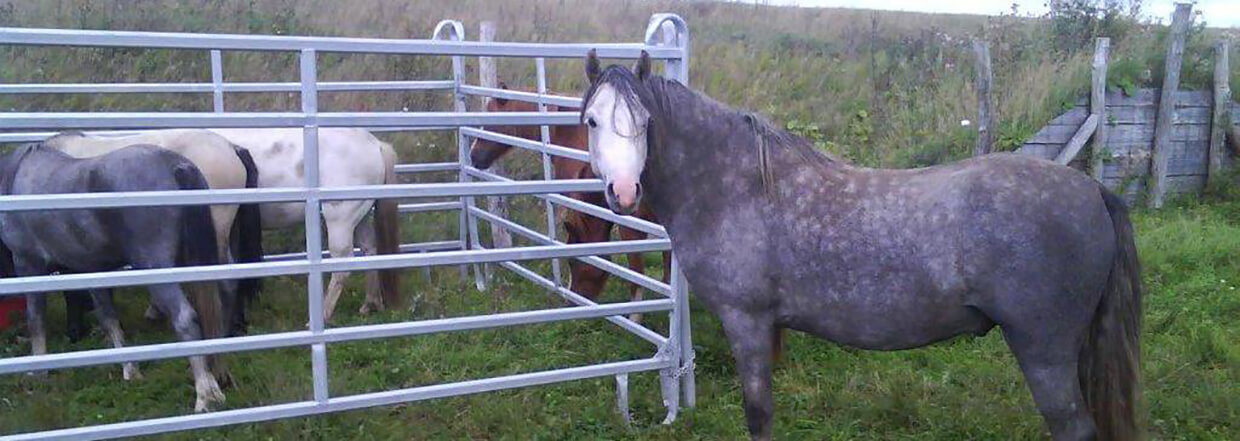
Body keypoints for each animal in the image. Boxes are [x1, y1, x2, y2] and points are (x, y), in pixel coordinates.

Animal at [0, 143, 228, 412]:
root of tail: (175, 165)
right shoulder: (92, 270)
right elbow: (108, 318)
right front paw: (130, 370)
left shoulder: (28, 263)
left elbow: (36, 318)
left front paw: (38, 371)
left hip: (156, 269)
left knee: (185, 318)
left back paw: (204, 396)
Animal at [208, 128, 401, 322]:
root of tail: (375, 144)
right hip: (360, 218)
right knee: (370, 250)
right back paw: (371, 304)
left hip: (341, 220)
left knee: (342, 265)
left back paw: (323, 315)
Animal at [580, 51, 1142, 441]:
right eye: (592, 121)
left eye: (645, 123)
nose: (624, 191)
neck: (735, 185)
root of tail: (1092, 189)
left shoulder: (747, 322)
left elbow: (759, 415)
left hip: (1043, 350)